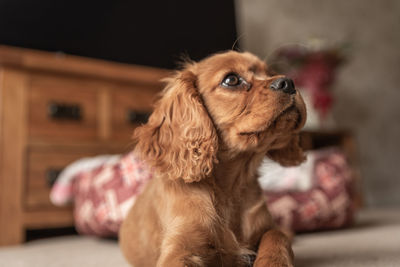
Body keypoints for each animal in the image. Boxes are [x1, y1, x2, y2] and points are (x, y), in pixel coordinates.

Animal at [119, 50, 306, 267]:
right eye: (231, 80)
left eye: (270, 73)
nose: (288, 82)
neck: (229, 190)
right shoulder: (181, 246)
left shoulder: (266, 226)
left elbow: (277, 236)